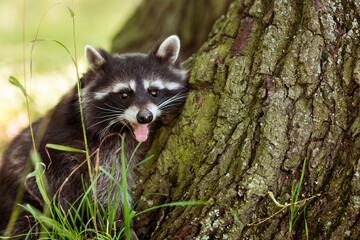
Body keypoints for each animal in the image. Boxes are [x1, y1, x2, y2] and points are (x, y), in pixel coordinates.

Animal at [0, 34, 190, 239]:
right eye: (124, 94)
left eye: (154, 92)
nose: (145, 117)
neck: (123, 126)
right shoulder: (97, 146)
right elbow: (107, 185)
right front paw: (121, 223)